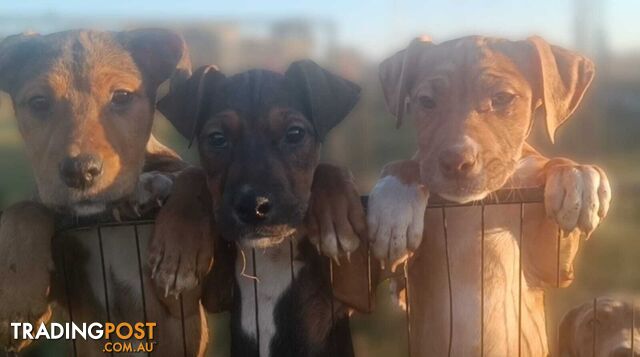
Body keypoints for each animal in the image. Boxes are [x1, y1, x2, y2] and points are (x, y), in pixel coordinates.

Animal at [150, 62, 368, 356]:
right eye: (217, 138)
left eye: (295, 134)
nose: (252, 206)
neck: (271, 252)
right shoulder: (212, 296)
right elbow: (193, 174)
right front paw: (177, 250)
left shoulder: (353, 292)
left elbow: (325, 169)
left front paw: (335, 216)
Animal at [368, 36, 612, 356]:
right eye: (426, 102)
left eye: (502, 99)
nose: (456, 161)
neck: (474, 205)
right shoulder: (400, 281)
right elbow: (412, 164)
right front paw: (394, 199)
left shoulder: (552, 268)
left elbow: (552, 171)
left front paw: (574, 173)